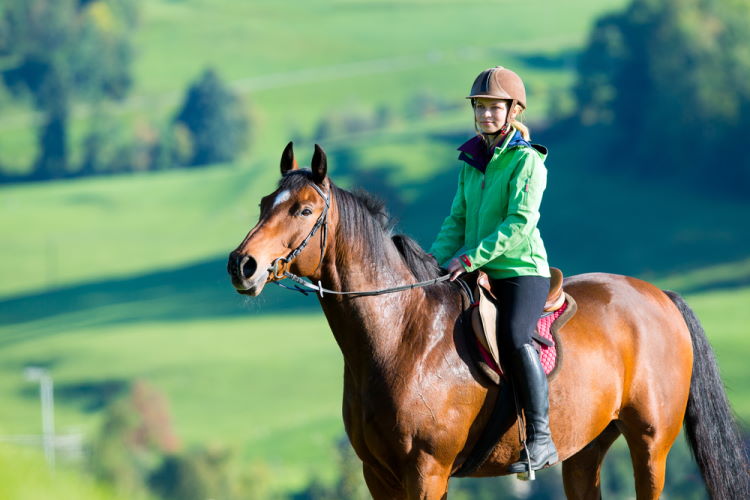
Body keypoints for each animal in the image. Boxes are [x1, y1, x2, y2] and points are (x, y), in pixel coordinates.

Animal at [226, 143, 748, 498]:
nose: (242, 265)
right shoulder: (378, 475)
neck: (402, 336)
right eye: (264, 204)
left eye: (304, 209)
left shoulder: (426, 471)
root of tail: (660, 296)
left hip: (650, 444)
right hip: (585, 450)